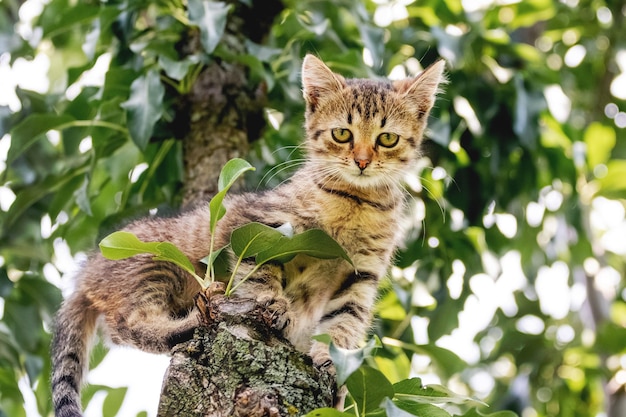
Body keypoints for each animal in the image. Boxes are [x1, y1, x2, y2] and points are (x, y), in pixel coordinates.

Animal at [52, 53, 444, 414]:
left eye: (387, 138)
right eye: (342, 134)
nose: (362, 161)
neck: (353, 204)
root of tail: (85, 270)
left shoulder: (361, 275)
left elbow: (345, 324)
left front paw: (335, 368)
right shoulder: (261, 227)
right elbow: (259, 274)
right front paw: (275, 305)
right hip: (154, 265)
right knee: (128, 324)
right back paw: (191, 322)